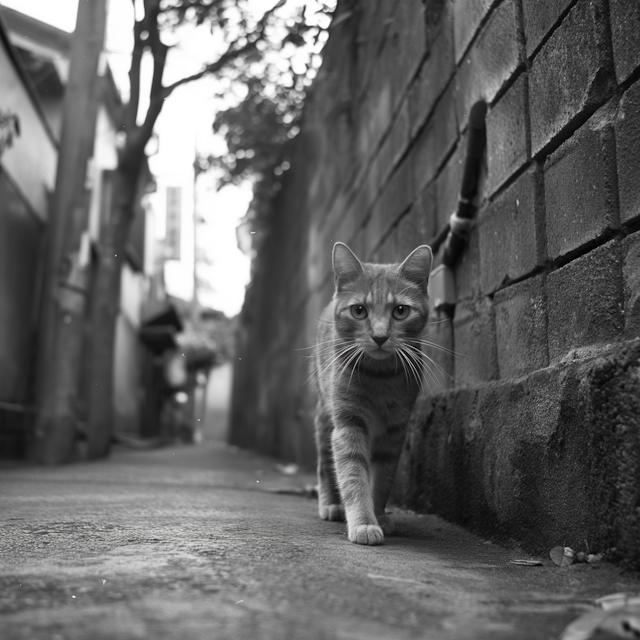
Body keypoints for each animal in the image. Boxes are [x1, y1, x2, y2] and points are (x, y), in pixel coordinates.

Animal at [312, 241, 432, 544]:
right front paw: (364, 522)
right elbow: (354, 476)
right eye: (359, 311)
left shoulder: (394, 432)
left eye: (400, 311)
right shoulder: (348, 424)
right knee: (324, 463)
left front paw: (378, 515)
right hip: (324, 417)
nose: (380, 336)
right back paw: (330, 504)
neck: (380, 378)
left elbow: (383, 478)